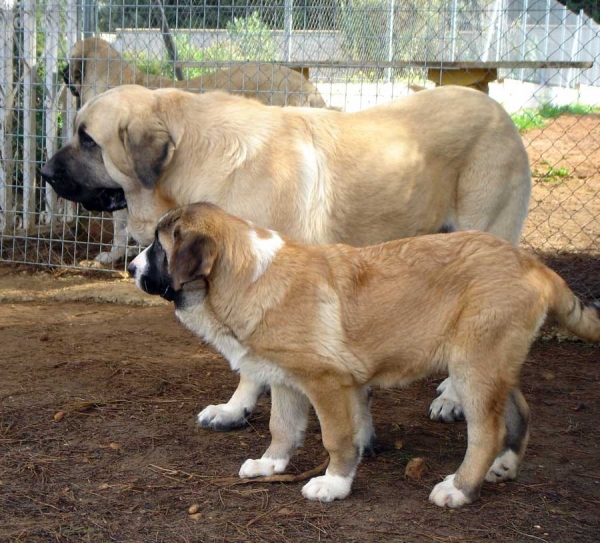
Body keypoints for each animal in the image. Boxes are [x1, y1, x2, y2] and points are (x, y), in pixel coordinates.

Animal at [39, 84, 532, 434]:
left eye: (87, 140)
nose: (43, 172)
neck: (196, 161)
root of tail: (499, 110)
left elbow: (252, 365)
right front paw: (235, 410)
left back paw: (452, 397)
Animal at [129, 202, 600, 508]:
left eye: (158, 246)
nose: (131, 268)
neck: (248, 276)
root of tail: (534, 265)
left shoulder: (325, 384)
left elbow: (336, 439)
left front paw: (334, 484)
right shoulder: (286, 381)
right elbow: (282, 429)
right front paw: (270, 465)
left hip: (472, 369)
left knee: (486, 433)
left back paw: (460, 488)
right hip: (495, 365)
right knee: (520, 410)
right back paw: (504, 466)